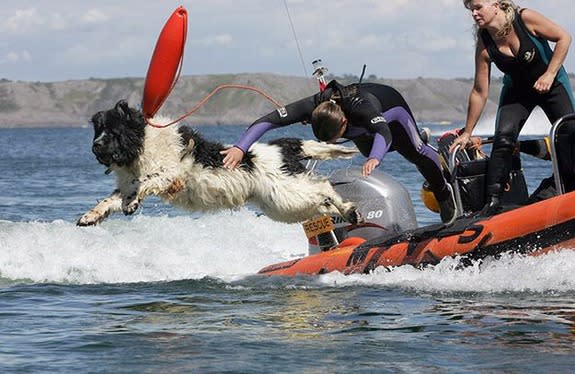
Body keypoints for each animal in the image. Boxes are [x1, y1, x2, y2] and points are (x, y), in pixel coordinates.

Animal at [78, 99, 362, 226]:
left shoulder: (168, 173)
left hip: (286, 192)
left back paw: (350, 210)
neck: (142, 144)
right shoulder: (127, 181)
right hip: (284, 204)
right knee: (324, 203)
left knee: (324, 186)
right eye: (98, 130)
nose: (95, 146)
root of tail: (285, 146)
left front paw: (132, 203)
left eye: (113, 132)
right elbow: (112, 198)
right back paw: (350, 212)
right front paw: (90, 216)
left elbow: (143, 182)